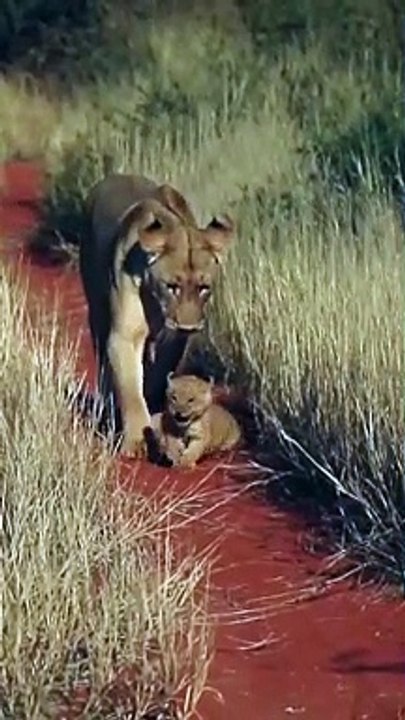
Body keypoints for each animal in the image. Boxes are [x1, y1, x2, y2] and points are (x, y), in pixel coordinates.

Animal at [79, 173, 234, 456]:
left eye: (203, 288)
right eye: (172, 286)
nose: (189, 326)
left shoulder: (174, 340)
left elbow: (159, 374)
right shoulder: (124, 336)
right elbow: (130, 388)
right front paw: (137, 440)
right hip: (96, 307)